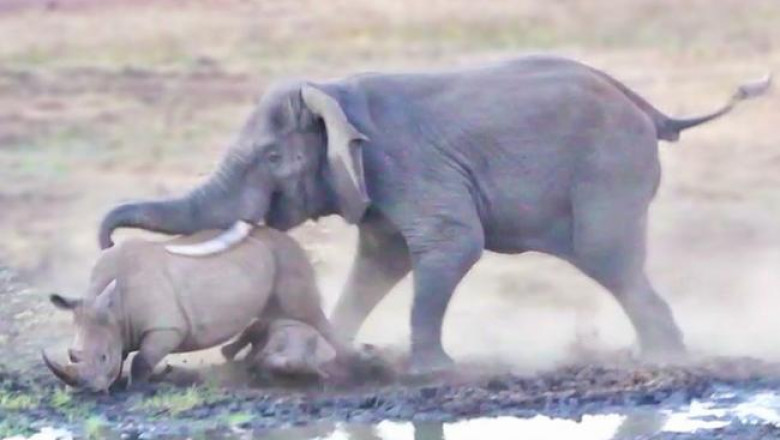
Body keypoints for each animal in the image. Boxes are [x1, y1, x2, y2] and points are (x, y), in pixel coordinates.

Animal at [42, 227, 348, 392]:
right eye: (71, 354)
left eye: (103, 357)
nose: (86, 390)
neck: (115, 309)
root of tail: (286, 237)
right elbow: (127, 354)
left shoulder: (165, 327)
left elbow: (142, 359)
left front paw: (137, 387)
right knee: (271, 315)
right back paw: (239, 359)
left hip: (288, 256)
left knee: (306, 313)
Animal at [96, 54, 768, 372]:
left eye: (271, 157)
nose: (103, 243)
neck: (335, 92)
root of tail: (651, 111)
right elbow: (379, 261)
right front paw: (332, 356)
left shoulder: (407, 164)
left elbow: (451, 244)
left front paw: (429, 369)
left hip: (610, 171)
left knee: (608, 259)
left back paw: (663, 359)